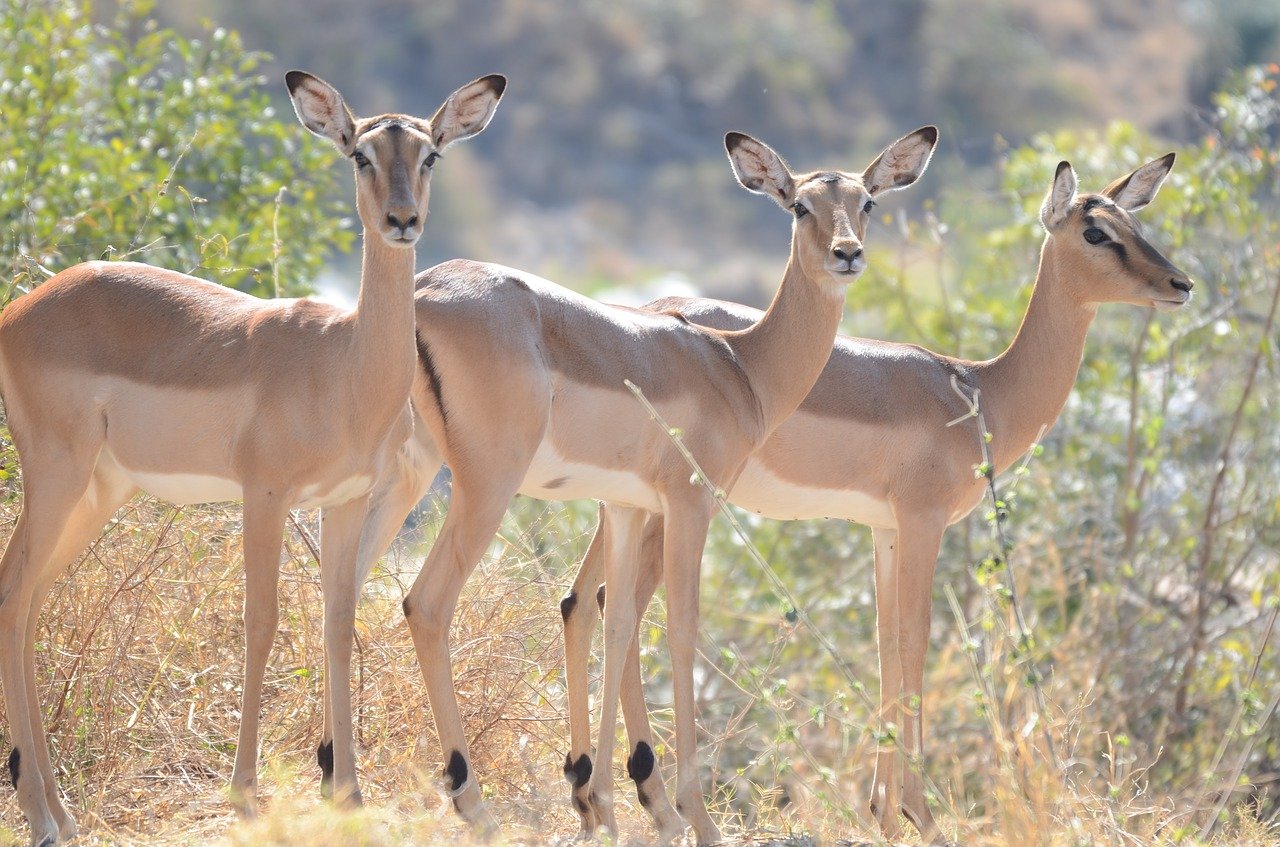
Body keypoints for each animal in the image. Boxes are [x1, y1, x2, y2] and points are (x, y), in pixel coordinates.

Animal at [0, 69, 504, 844]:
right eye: (359, 154)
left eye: (430, 154)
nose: (402, 220)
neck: (343, 365)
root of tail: (24, 308)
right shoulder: (264, 495)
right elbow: (261, 621)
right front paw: (243, 793)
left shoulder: (345, 502)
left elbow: (336, 621)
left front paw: (349, 793)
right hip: (56, 475)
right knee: (12, 589)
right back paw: (41, 816)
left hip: (97, 492)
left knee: (28, 601)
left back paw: (61, 811)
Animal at [345, 124, 936, 844]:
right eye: (799, 204)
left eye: (866, 202)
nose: (847, 254)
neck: (738, 366)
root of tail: (426, 291)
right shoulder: (691, 505)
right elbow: (681, 630)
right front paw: (693, 814)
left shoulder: (627, 507)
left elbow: (617, 618)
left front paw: (602, 802)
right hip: (484, 487)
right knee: (426, 604)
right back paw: (470, 800)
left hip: (405, 473)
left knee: (340, 585)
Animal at [565, 156, 1192, 844]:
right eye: (1095, 232)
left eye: (1135, 223)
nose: (1181, 283)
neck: (980, 391)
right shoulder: (923, 521)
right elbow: (916, 638)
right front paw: (920, 814)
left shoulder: (885, 529)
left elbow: (887, 640)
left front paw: (882, 813)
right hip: (674, 508)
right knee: (622, 604)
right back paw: (645, 799)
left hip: (630, 507)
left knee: (588, 600)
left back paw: (595, 794)